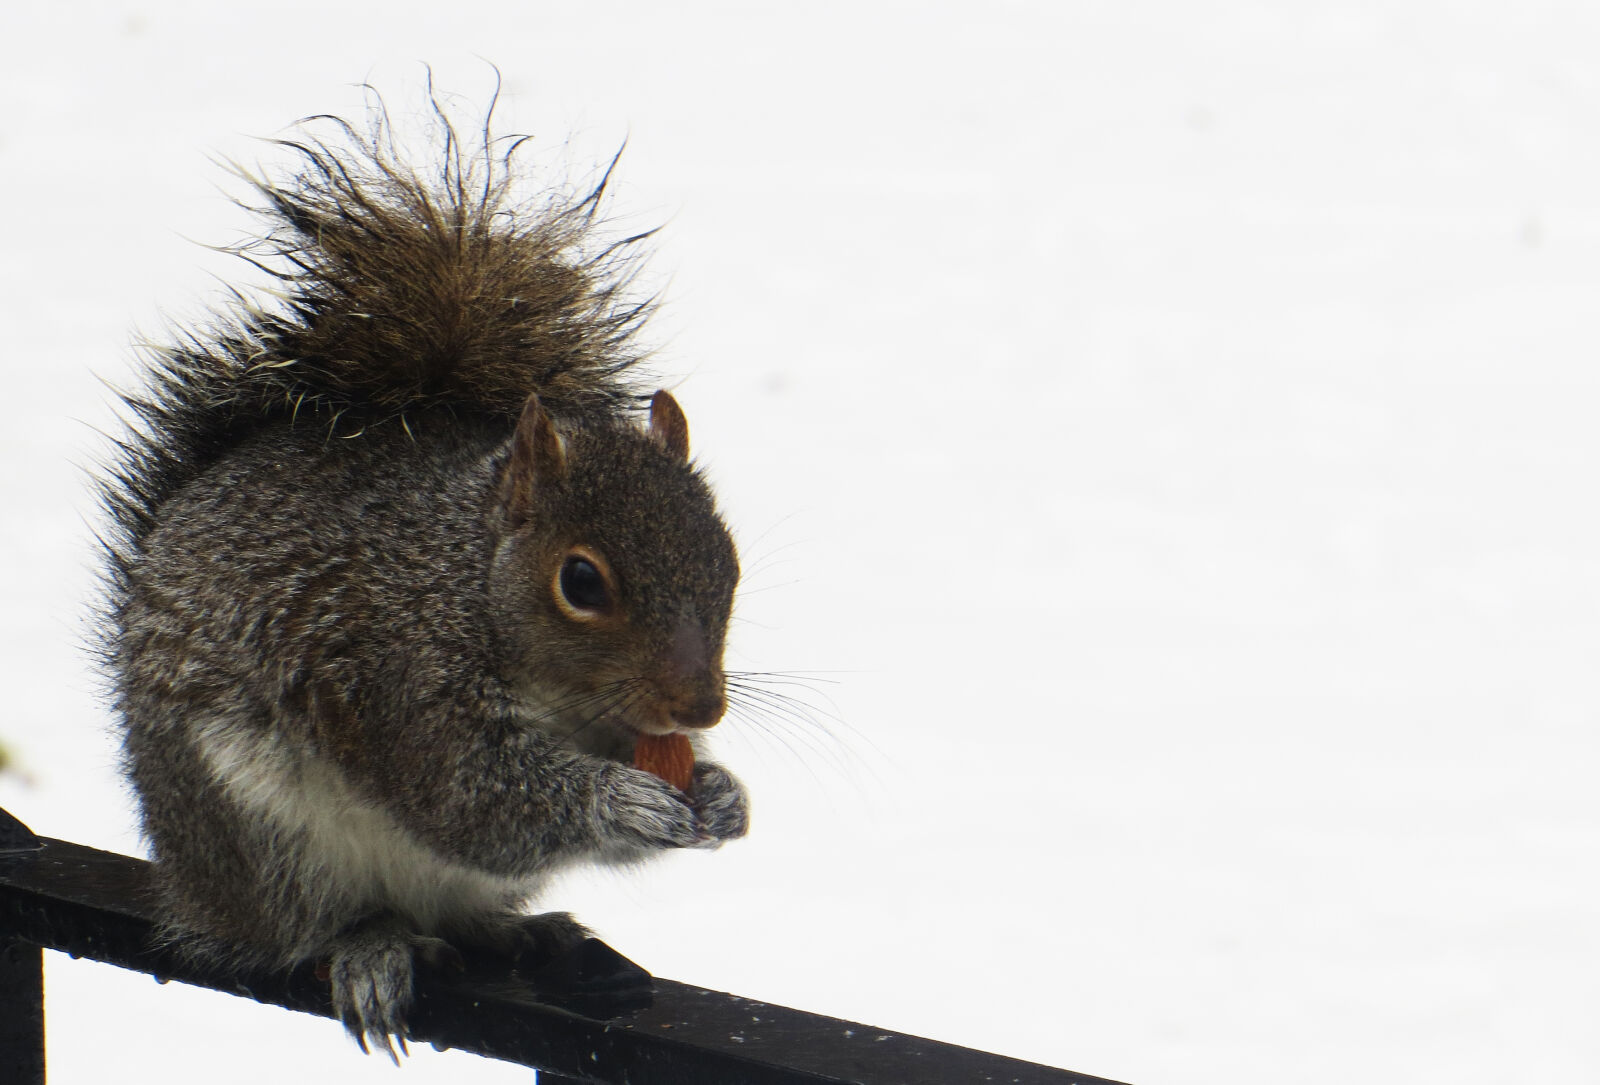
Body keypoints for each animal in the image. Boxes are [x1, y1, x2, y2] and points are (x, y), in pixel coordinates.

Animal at [93, 95, 748, 1062]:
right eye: (581, 582)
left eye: (728, 559)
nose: (701, 709)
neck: (468, 585)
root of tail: (191, 881)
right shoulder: (403, 682)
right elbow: (475, 801)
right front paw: (622, 799)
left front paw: (720, 792)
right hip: (265, 839)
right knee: (307, 926)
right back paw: (369, 947)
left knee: (465, 911)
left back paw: (526, 934)